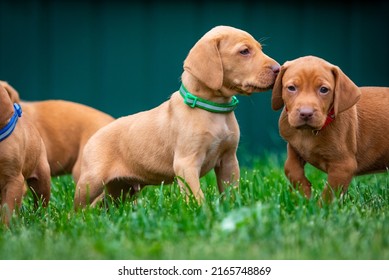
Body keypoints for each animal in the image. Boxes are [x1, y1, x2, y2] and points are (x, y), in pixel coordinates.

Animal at [0, 82, 50, 224]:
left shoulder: (13, 180)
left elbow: (8, 210)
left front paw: (5, 228)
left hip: (42, 180)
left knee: (41, 203)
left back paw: (40, 217)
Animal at [73, 25, 278, 208]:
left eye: (260, 49)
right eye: (244, 51)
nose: (278, 69)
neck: (212, 109)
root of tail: (95, 134)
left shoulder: (229, 160)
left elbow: (231, 192)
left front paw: (233, 209)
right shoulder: (186, 164)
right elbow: (197, 196)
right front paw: (204, 213)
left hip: (121, 188)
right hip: (91, 182)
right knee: (78, 208)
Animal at [272, 55, 388, 201]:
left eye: (323, 89)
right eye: (291, 88)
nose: (306, 113)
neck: (308, 132)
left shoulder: (343, 167)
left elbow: (330, 193)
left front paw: (319, 206)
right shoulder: (294, 146)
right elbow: (290, 168)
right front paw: (304, 193)